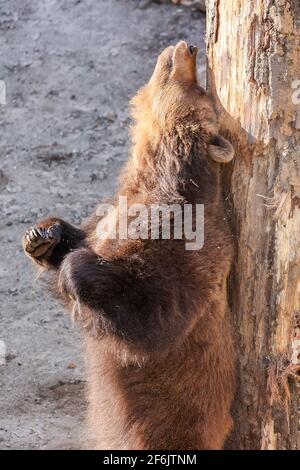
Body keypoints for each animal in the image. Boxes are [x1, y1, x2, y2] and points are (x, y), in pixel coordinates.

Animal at [22, 42, 234, 450]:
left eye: (201, 91)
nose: (188, 47)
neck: (159, 176)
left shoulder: (187, 246)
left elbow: (156, 315)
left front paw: (75, 270)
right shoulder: (114, 212)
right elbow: (85, 233)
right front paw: (43, 236)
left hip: (175, 425)